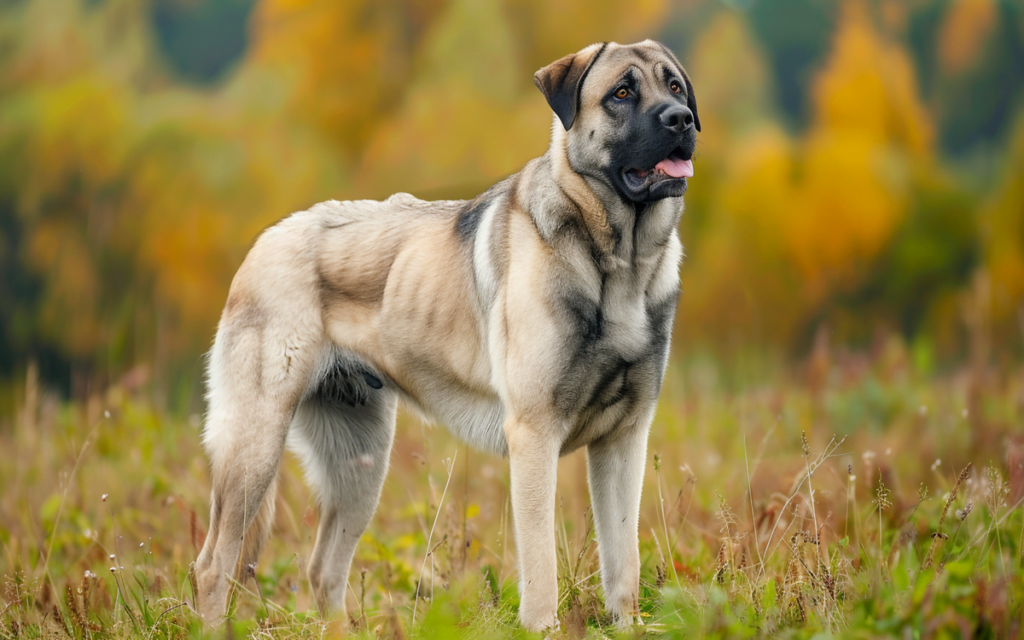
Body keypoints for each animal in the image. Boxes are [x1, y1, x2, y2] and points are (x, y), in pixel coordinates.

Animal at [193, 38, 696, 630]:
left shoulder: (624, 441)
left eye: (675, 87)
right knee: (213, 566)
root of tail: (268, 237)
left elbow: (623, 564)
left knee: (324, 571)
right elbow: (541, 569)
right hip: (255, 446)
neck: (619, 261)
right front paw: (544, 630)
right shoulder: (534, 437)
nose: (682, 119)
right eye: (621, 93)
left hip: (360, 466)